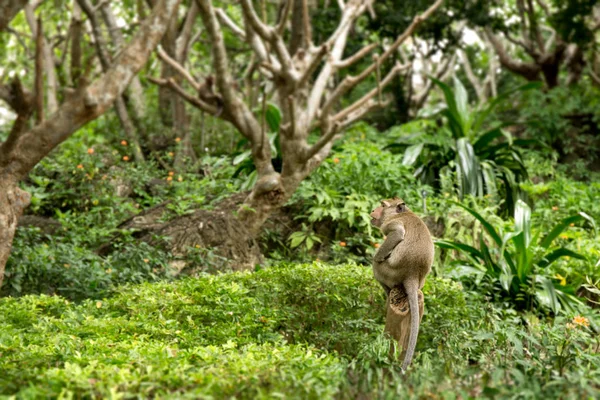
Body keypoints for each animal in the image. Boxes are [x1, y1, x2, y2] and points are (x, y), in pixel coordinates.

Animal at [368, 198, 434, 370]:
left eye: (382, 205)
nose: (373, 210)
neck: (403, 213)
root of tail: (413, 275)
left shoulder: (390, 223)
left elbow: (397, 233)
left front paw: (377, 256)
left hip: (390, 273)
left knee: (377, 269)